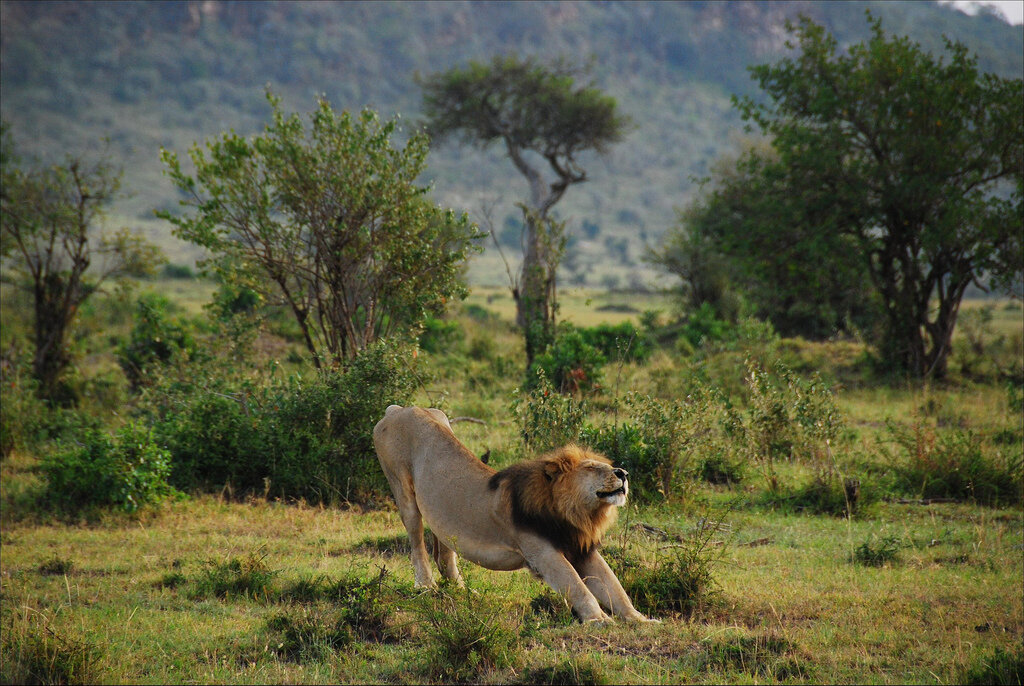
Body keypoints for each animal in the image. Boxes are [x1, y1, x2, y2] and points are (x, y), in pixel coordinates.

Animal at [372, 403, 651, 622]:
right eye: (592, 468)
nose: (623, 473)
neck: (576, 514)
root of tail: (399, 408)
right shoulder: (542, 552)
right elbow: (577, 587)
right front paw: (600, 620)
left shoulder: (582, 548)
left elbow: (614, 587)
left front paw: (640, 620)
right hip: (402, 489)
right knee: (417, 543)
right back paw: (427, 586)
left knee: (444, 552)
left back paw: (462, 591)